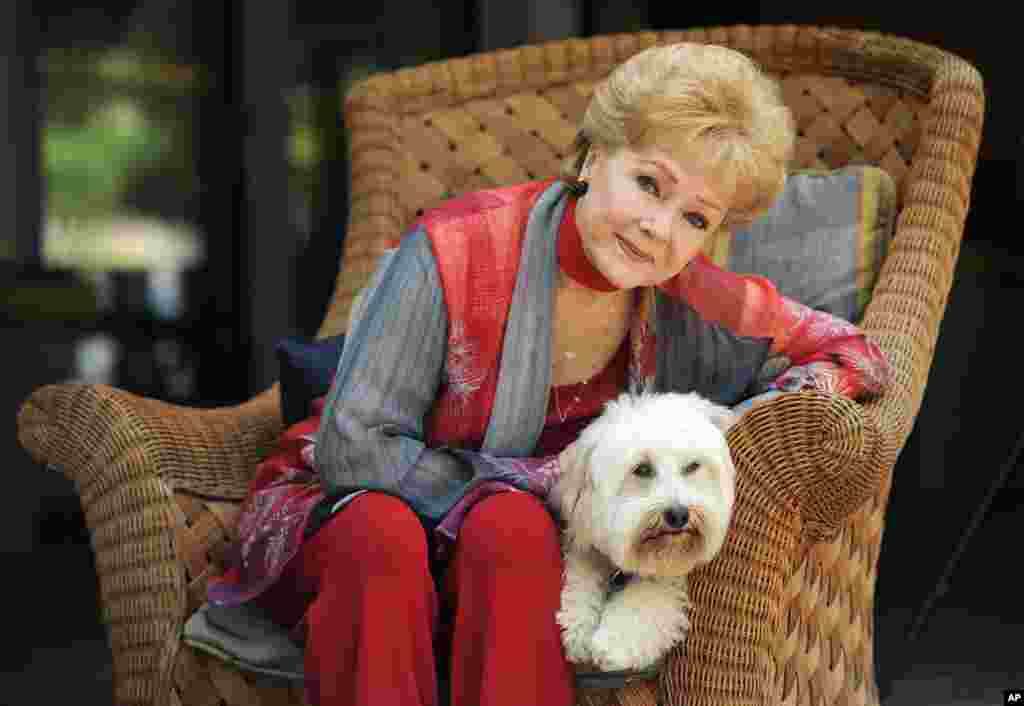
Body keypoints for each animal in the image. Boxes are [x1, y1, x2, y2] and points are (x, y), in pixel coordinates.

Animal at [548, 391, 741, 672]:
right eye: (642, 469)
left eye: (692, 466)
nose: (679, 515)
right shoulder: (586, 542)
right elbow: (582, 579)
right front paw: (578, 629)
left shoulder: (669, 574)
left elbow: (645, 598)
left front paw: (612, 642)